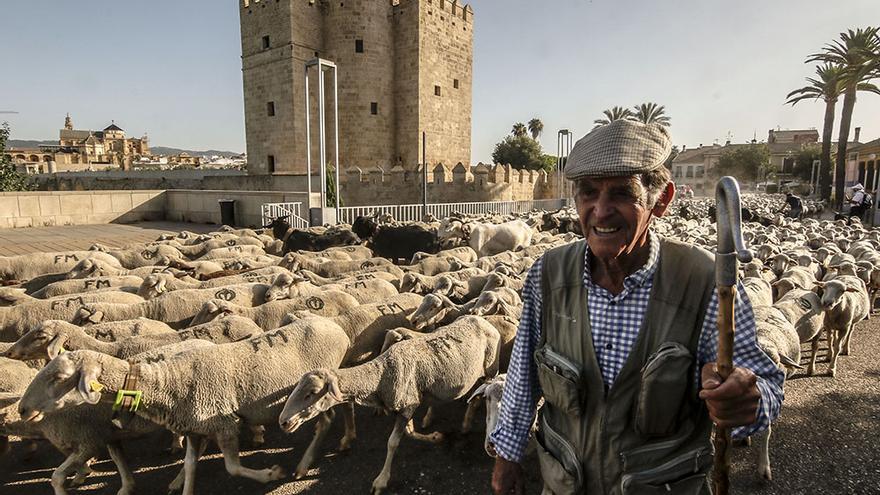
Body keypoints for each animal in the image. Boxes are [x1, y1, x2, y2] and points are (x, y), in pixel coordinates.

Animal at [282, 316, 502, 494]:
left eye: (311, 393)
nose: (283, 421)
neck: (381, 375)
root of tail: (482, 320)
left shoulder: (407, 406)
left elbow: (392, 443)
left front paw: (381, 481)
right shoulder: (408, 404)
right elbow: (409, 432)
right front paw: (433, 437)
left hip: (491, 369)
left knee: (480, 395)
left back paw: (466, 423)